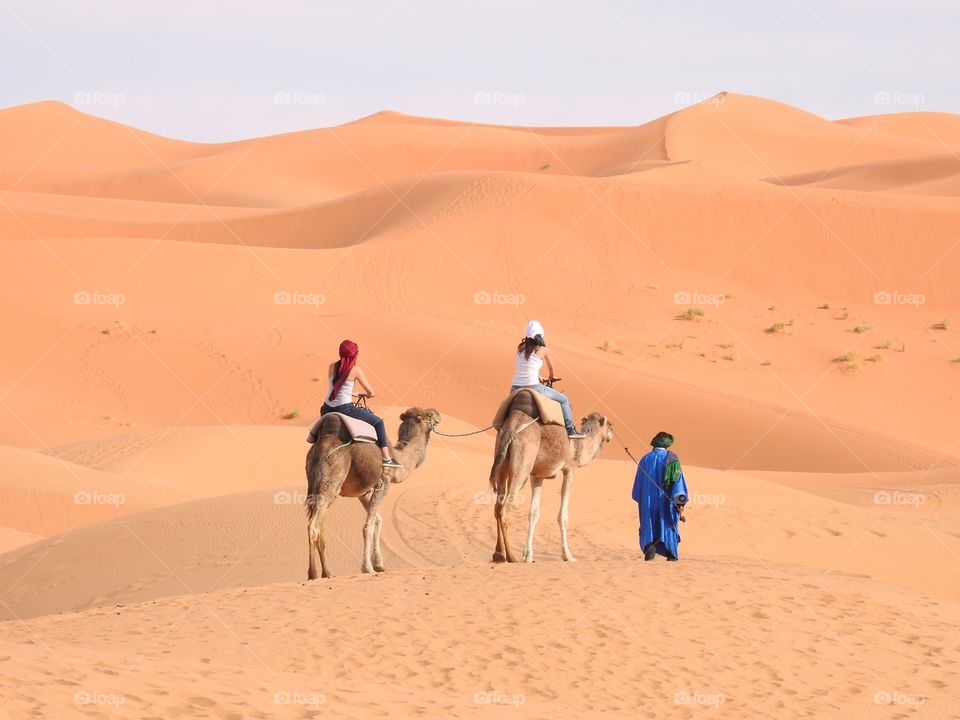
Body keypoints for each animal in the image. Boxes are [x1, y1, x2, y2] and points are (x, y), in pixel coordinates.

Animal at [306, 404, 440, 580]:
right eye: (428, 414)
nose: (439, 415)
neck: (398, 458)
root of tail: (323, 445)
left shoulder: (364, 491)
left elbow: (378, 521)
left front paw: (379, 564)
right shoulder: (384, 482)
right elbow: (367, 527)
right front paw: (368, 568)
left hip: (319, 485)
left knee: (320, 526)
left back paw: (327, 573)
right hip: (331, 483)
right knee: (313, 526)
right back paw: (313, 574)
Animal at [488, 390, 616, 564]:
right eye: (610, 425)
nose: (611, 435)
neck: (582, 446)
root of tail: (512, 428)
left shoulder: (537, 476)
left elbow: (533, 513)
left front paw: (528, 555)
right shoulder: (570, 469)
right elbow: (563, 516)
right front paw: (568, 555)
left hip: (502, 463)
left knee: (497, 507)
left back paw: (498, 554)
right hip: (522, 466)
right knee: (504, 509)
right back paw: (510, 556)